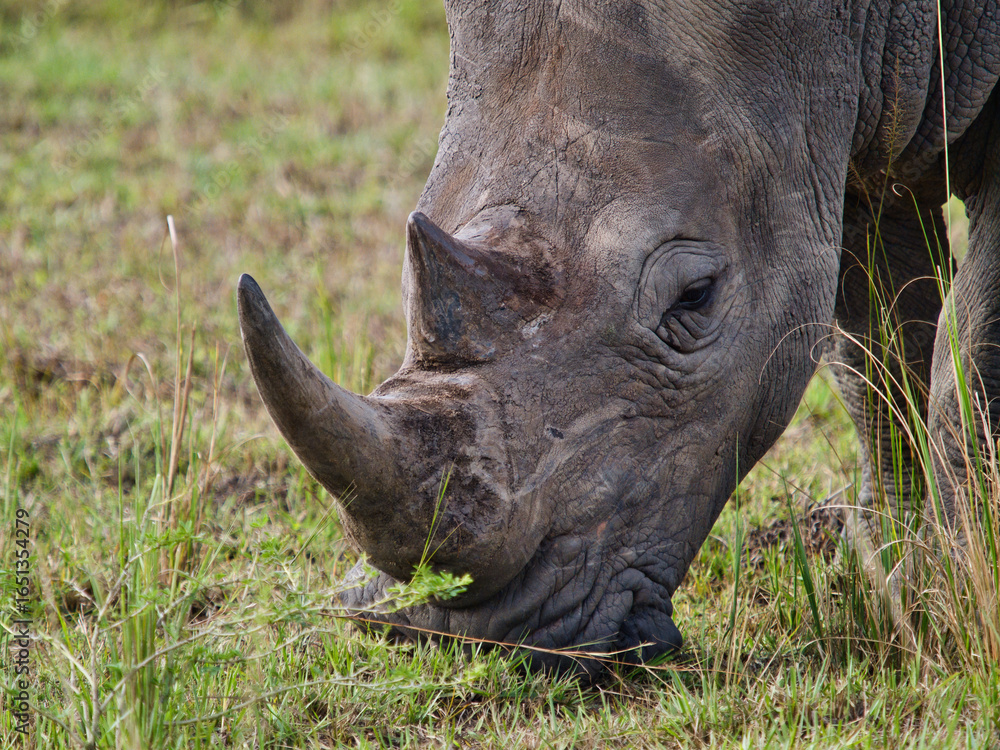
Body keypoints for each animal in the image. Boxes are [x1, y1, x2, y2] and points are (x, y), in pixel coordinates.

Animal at [238, 0, 1000, 674]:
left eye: (695, 297)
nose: (463, 633)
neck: (858, 20)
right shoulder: (853, 125)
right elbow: (876, 348)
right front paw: (893, 574)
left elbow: (969, 353)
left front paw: (955, 593)